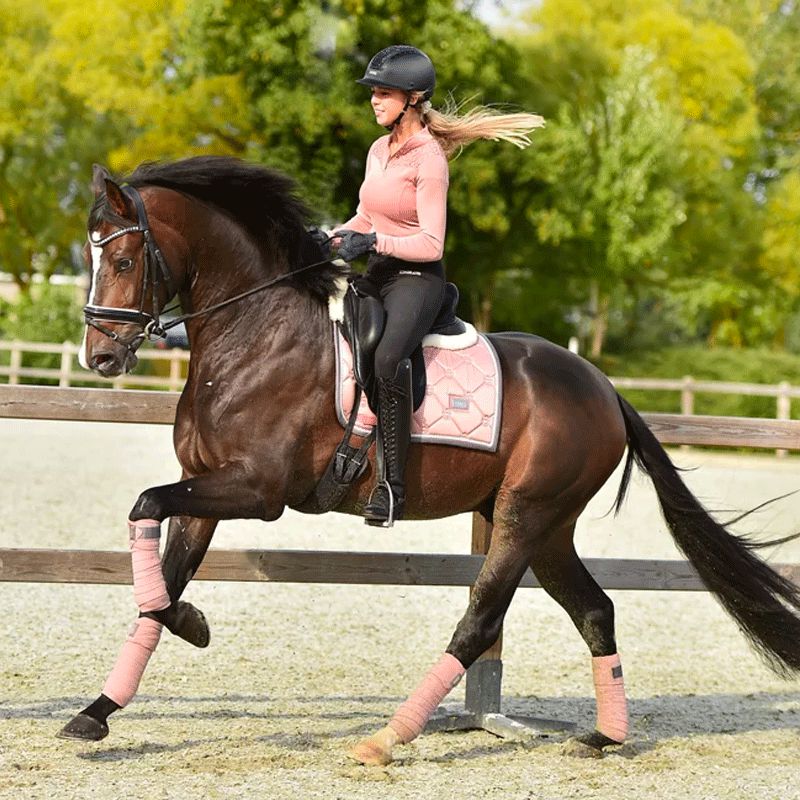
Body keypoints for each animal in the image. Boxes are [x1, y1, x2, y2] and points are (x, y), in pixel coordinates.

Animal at [61, 155, 800, 764]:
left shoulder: (255, 490)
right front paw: (99, 710)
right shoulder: (204, 488)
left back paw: (388, 738)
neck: (255, 333)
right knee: (594, 611)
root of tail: (605, 389)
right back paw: (604, 736)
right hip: (547, 526)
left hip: (525, 517)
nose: (100, 358)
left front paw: (188, 627)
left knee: (479, 621)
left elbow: (147, 513)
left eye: (122, 262)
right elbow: (159, 579)